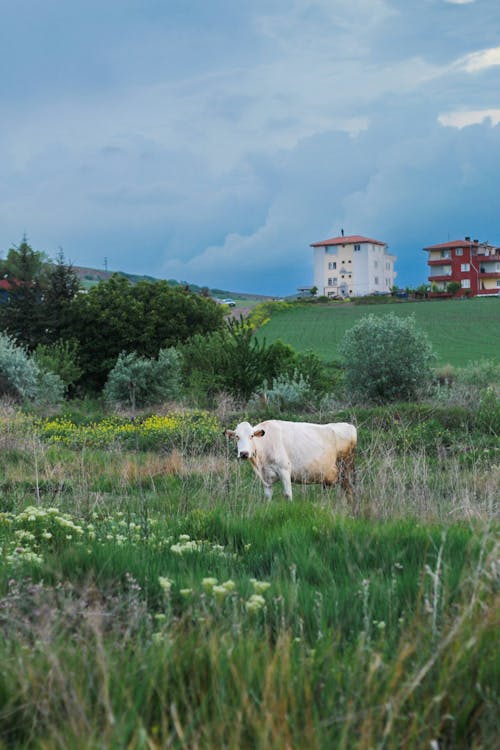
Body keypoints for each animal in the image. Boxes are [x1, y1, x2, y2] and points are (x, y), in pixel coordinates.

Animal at [225, 420, 358, 502]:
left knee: (350, 492)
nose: (244, 453)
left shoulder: (284, 470)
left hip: (346, 469)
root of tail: (349, 426)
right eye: (237, 436)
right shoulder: (265, 477)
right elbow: (267, 496)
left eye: (251, 436)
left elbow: (288, 494)